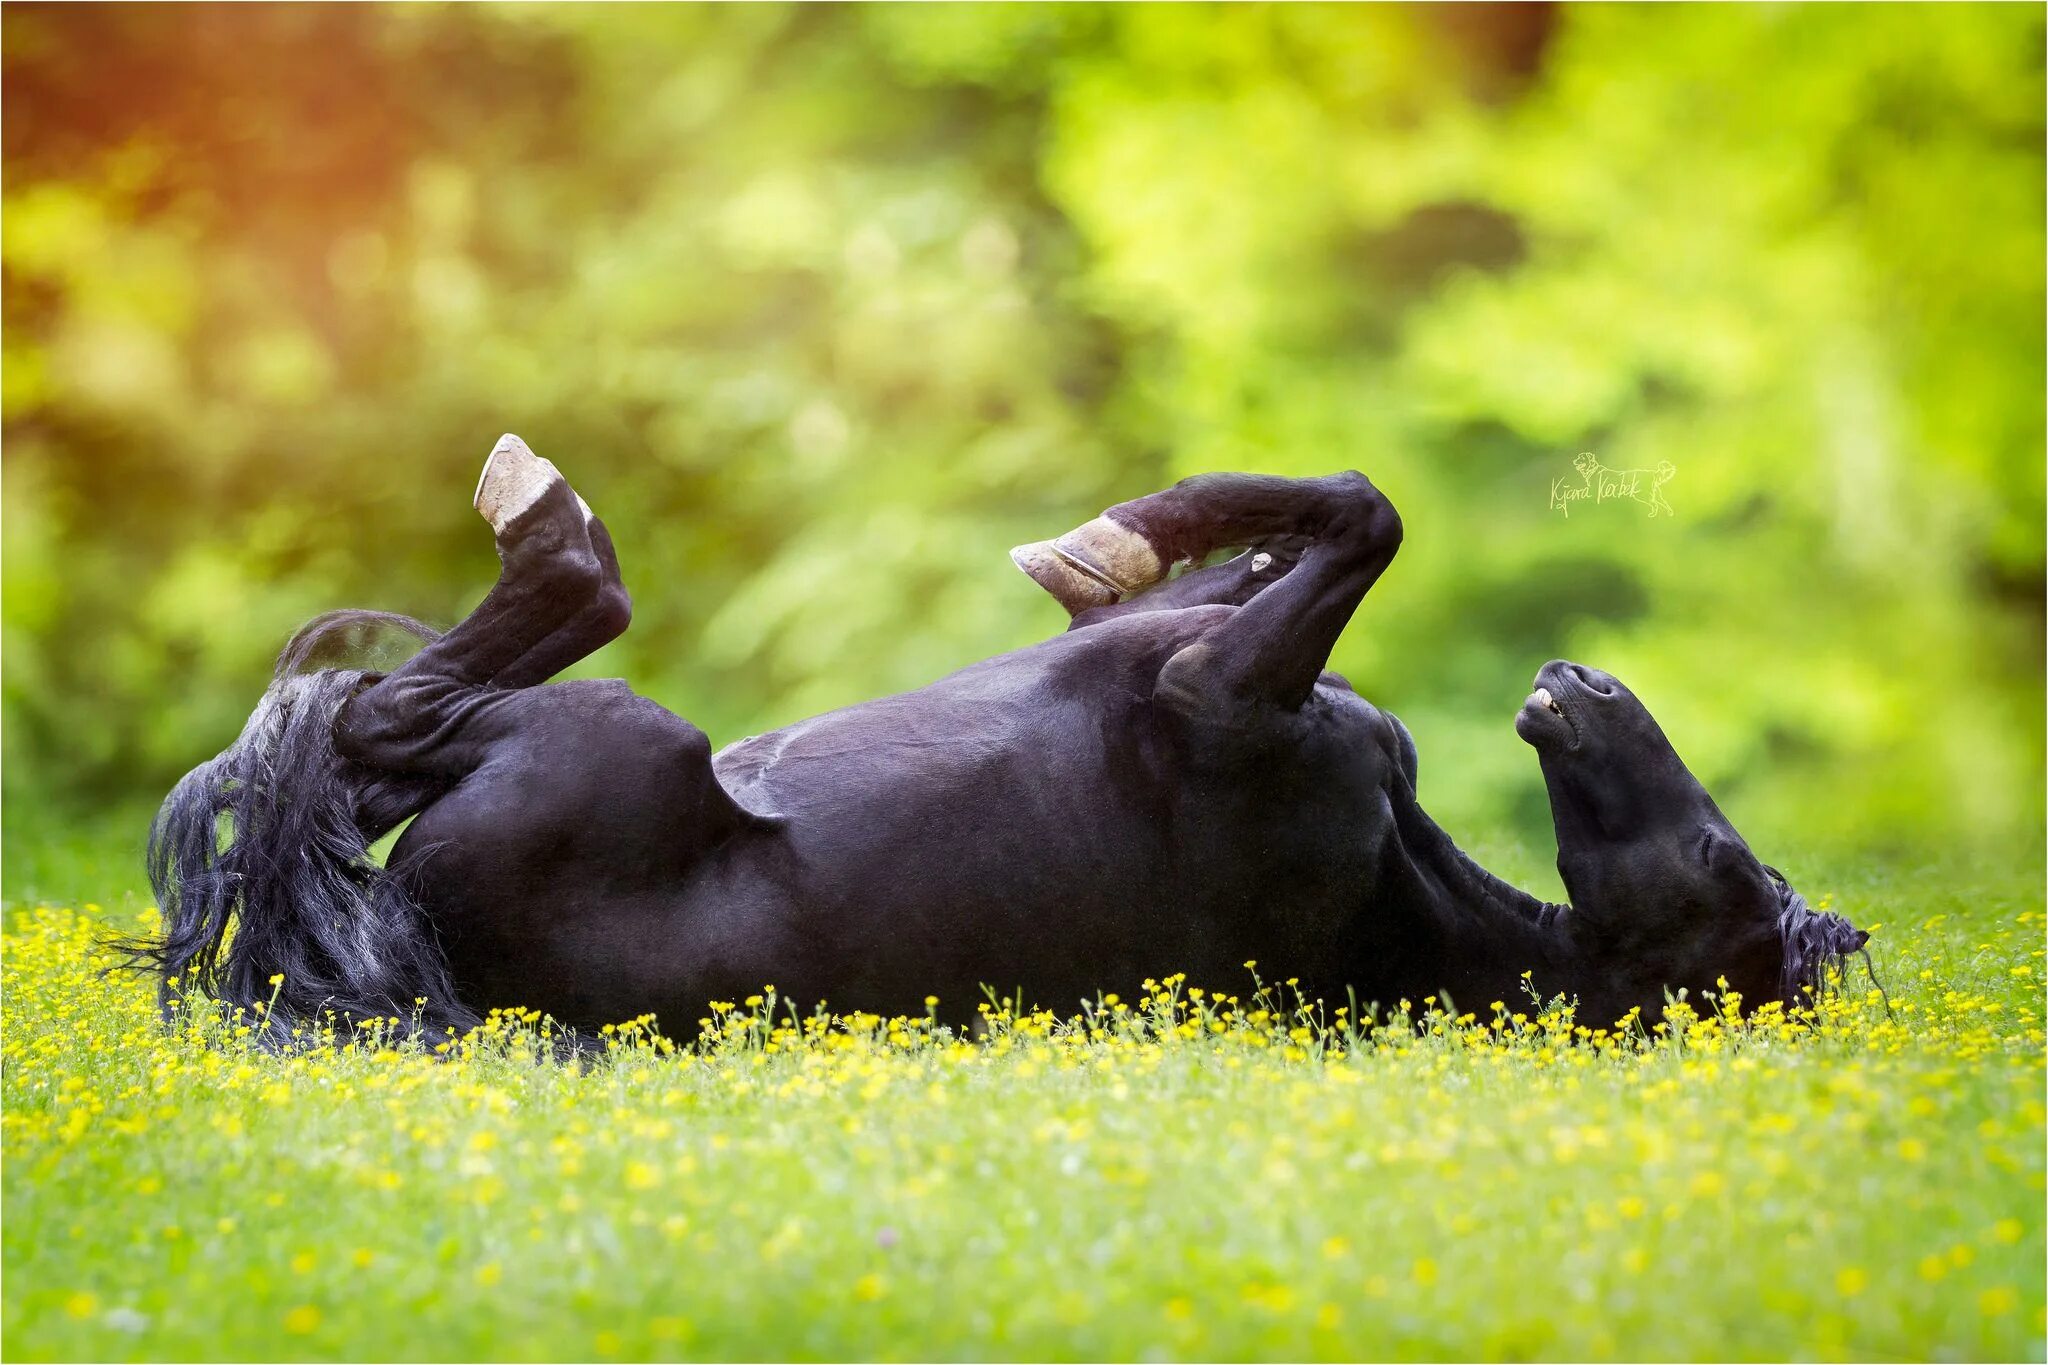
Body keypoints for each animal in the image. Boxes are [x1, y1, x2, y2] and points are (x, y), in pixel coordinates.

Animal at [136, 437, 1867, 1035]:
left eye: (1726, 859)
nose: (1587, 681)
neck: (1408, 891)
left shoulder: (1211, 696)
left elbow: (1365, 515)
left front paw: (1113, 535)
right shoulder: (1211, 654)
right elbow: (1302, 524)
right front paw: (1116, 546)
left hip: (602, 735)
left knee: (391, 716)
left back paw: (545, 514)